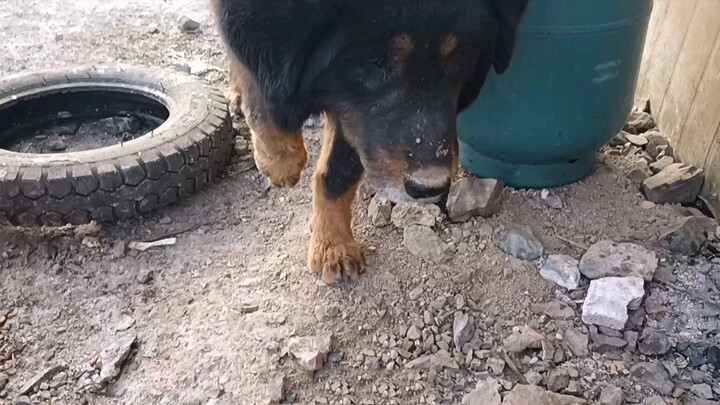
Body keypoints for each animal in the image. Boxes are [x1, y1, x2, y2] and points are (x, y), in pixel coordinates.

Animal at [214, 0, 528, 282]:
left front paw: (332, 245)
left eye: (459, 56)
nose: (430, 188)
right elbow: (263, 87)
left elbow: (338, 172)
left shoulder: (357, 119)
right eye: (375, 61)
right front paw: (280, 161)